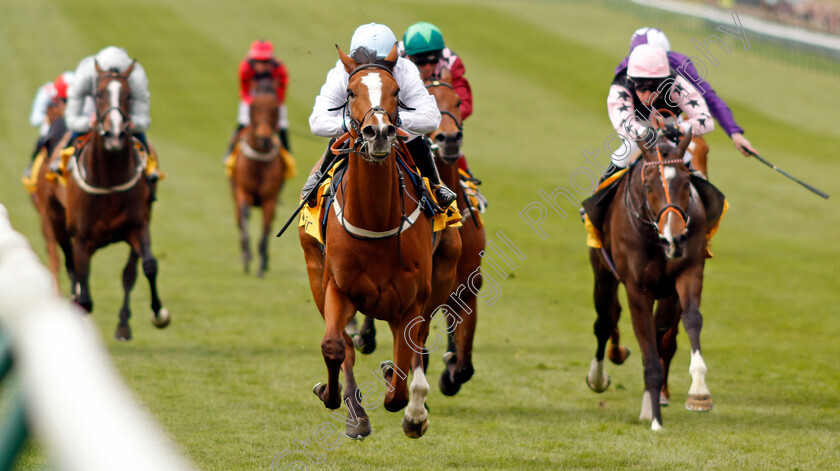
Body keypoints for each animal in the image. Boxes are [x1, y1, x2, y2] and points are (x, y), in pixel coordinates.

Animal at [33, 62, 168, 342]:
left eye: (129, 95)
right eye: (98, 94)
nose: (114, 134)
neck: (109, 179)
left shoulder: (138, 225)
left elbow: (146, 267)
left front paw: (157, 313)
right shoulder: (82, 237)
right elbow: (83, 293)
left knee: (127, 273)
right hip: (55, 221)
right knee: (70, 265)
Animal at [228, 80, 288, 276]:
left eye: (275, 108)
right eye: (254, 106)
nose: (264, 138)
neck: (259, 160)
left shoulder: (270, 198)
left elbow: (267, 228)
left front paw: (262, 263)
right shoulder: (243, 192)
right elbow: (245, 214)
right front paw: (247, 257)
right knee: (239, 219)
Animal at [298, 46, 460, 440]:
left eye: (397, 91)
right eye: (350, 91)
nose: (380, 132)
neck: (374, 219)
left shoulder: (412, 301)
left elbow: (400, 383)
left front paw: (410, 408)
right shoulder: (336, 287)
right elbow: (334, 346)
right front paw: (333, 396)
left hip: (442, 274)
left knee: (417, 348)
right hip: (314, 270)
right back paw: (356, 413)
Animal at [584, 130, 716, 432]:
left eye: (686, 182)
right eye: (648, 186)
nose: (674, 238)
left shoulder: (688, 272)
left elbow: (691, 320)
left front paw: (699, 391)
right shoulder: (637, 289)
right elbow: (643, 336)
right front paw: (655, 419)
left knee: (658, 335)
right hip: (602, 273)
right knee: (604, 321)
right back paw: (598, 378)